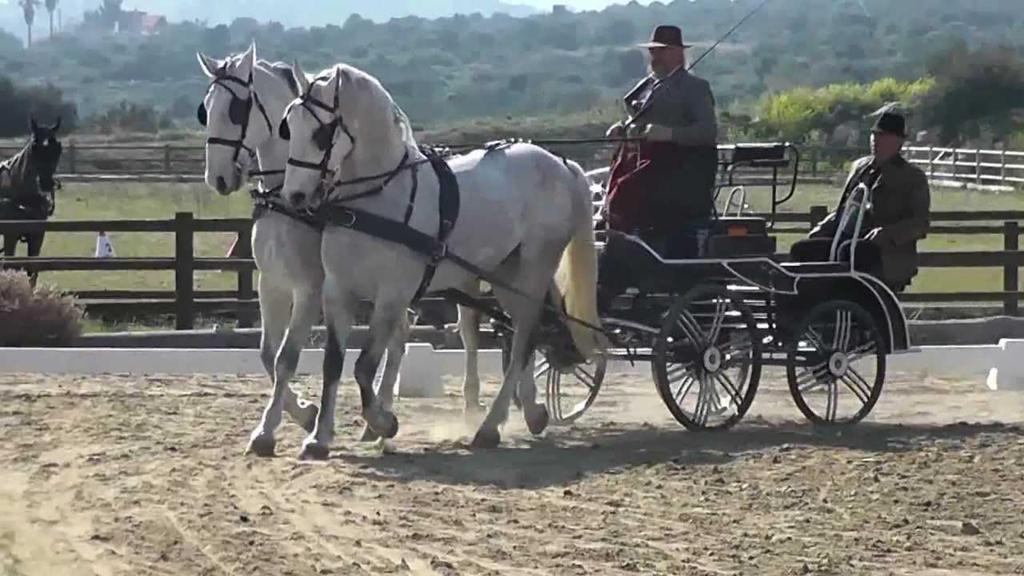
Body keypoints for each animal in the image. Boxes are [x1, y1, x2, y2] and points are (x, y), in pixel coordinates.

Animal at [276, 61, 602, 457]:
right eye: (289, 125)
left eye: (322, 133)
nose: (295, 195)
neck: (378, 198)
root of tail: (561, 163)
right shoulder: (339, 292)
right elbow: (334, 363)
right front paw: (318, 438)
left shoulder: (392, 295)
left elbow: (364, 366)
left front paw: (383, 422)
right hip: (505, 274)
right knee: (526, 336)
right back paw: (533, 413)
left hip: (533, 269)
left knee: (524, 339)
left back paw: (490, 427)